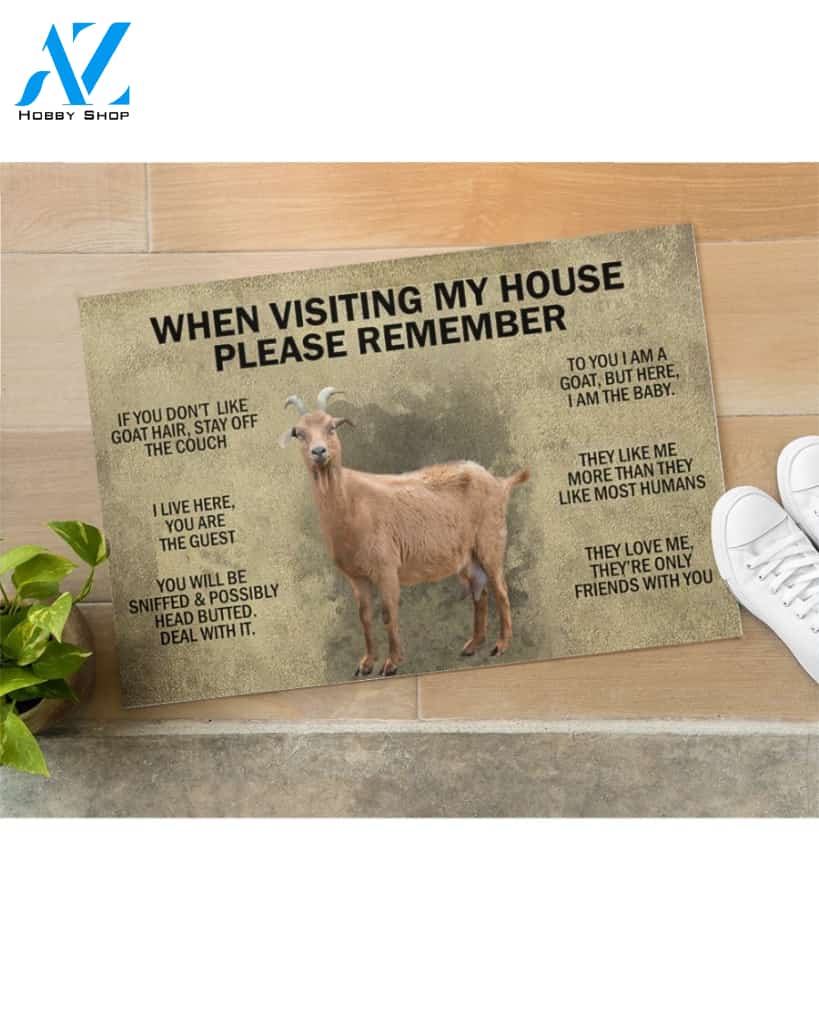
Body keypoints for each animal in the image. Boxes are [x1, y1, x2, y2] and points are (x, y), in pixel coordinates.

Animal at [280, 387, 529, 677]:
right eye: (299, 433)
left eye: (331, 426)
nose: (318, 452)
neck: (351, 502)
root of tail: (500, 482)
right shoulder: (357, 577)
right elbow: (364, 617)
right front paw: (366, 664)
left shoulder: (387, 568)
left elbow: (388, 613)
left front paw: (392, 663)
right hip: (466, 557)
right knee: (480, 591)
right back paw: (471, 646)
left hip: (490, 540)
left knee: (500, 588)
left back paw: (501, 645)